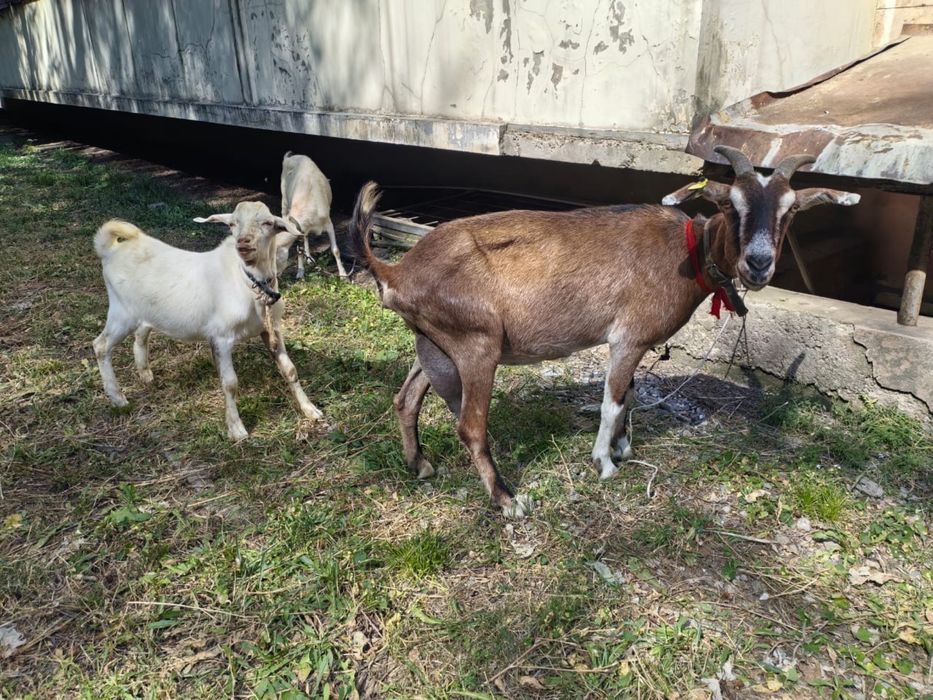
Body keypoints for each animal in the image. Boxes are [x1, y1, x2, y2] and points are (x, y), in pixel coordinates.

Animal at [92, 201, 324, 440]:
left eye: (268, 223)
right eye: (232, 224)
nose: (243, 243)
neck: (246, 281)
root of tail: (110, 251)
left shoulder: (271, 329)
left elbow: (290, 369)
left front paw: (311, 410)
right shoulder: (221, 336)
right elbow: (230, 383)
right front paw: (236, 429)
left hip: (145, 310)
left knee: (141, 332)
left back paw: (145, 374)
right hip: (121, 312)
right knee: (100, 345)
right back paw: (118, 398)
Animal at [280, 151, 347, 279]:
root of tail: (289, 157)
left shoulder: (329, 223)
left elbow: (335, 250)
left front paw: (343, 275)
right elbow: (299, 248)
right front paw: (300, 272)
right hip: (284, 200)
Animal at [346, 146, 860, 517]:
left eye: (790, 212)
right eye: (731, 205)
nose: (758, 263)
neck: (687, 250)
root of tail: (396, 271)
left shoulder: (636, 344)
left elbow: (630, 395)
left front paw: (625, 448)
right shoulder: (627, 338)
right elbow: (612, 402)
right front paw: (606, 463)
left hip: (434, 342)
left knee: (406, 399)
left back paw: (420, 465)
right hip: (477, 343)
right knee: (470, 425)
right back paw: (509, 501)